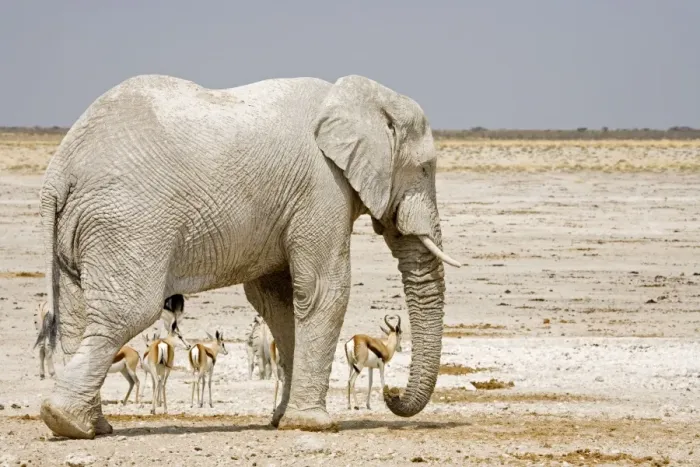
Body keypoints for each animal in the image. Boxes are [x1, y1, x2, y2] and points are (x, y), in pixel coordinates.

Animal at [38, 73, 462, 439]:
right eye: (425, 169)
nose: (392, 397)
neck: (356, 98)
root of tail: (59, 171)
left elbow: (278, 301)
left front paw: (281, 420)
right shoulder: (322, 187)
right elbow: (323, 290)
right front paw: (314, 425)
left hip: (83, 229)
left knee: (77, 319)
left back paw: (93, 426)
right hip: (129, 222)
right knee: (127, 313)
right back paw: (65, 422)